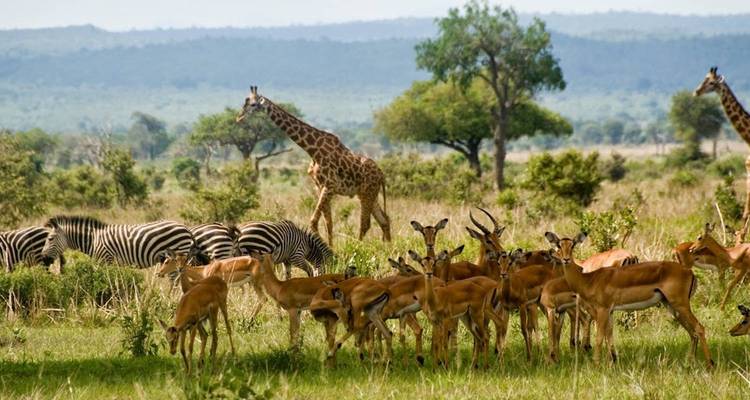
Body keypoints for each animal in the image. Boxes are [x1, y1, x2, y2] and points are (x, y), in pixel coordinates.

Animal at [42, 215, 194, 268]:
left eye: (50, 239)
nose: (43, 259)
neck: (93, 240)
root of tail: (185, 227)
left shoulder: (105, 260)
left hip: (177, 254)